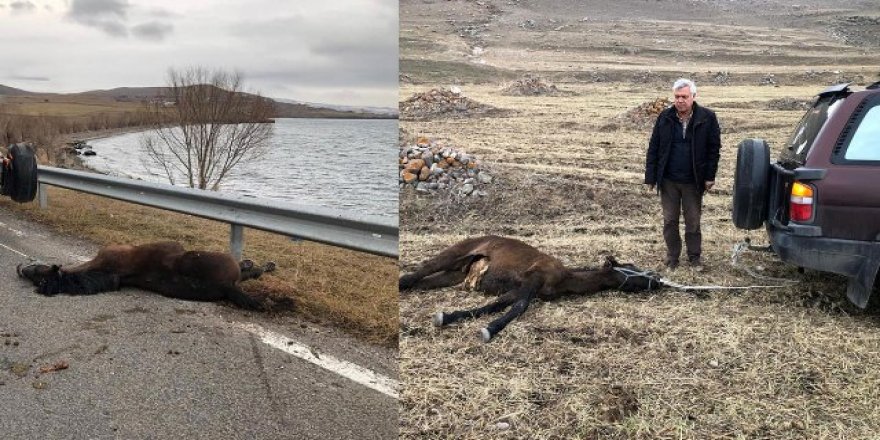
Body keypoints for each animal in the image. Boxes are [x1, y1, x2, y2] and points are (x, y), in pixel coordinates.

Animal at [398, 235, 660, 342]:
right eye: (630, 267)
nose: (657, 279)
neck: (565, 278)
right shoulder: (532, 279)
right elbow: (519, 307)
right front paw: (490, 330)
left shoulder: (520, 288)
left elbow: (497, 304)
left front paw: (449, 317)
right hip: (454, 254)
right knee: (417, 272)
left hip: (454, 274)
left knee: (419, 281)